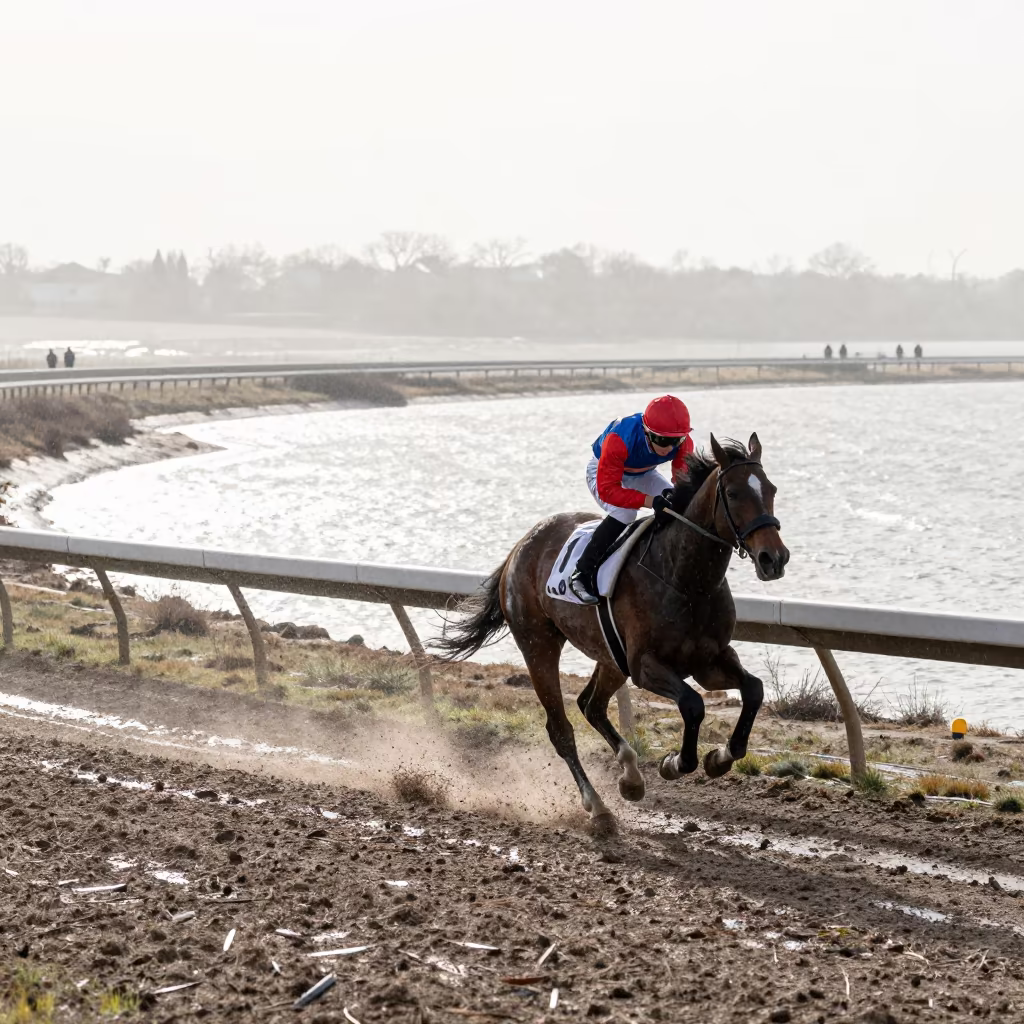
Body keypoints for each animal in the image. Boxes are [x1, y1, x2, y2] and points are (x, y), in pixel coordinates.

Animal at [434, 433, 789, 831]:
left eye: (771, 489)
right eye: (733, 493)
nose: (774, 558)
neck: (686, 579)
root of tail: (520, 547)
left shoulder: (709, 661)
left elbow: (754, 690)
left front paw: (721, 757)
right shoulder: (645, 666)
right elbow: (692, 704)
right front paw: (675, 763)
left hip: (609, 656)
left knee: (591, 705)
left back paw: (630, 778)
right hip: (539, 645)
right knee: (561, 729)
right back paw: (598, 807)